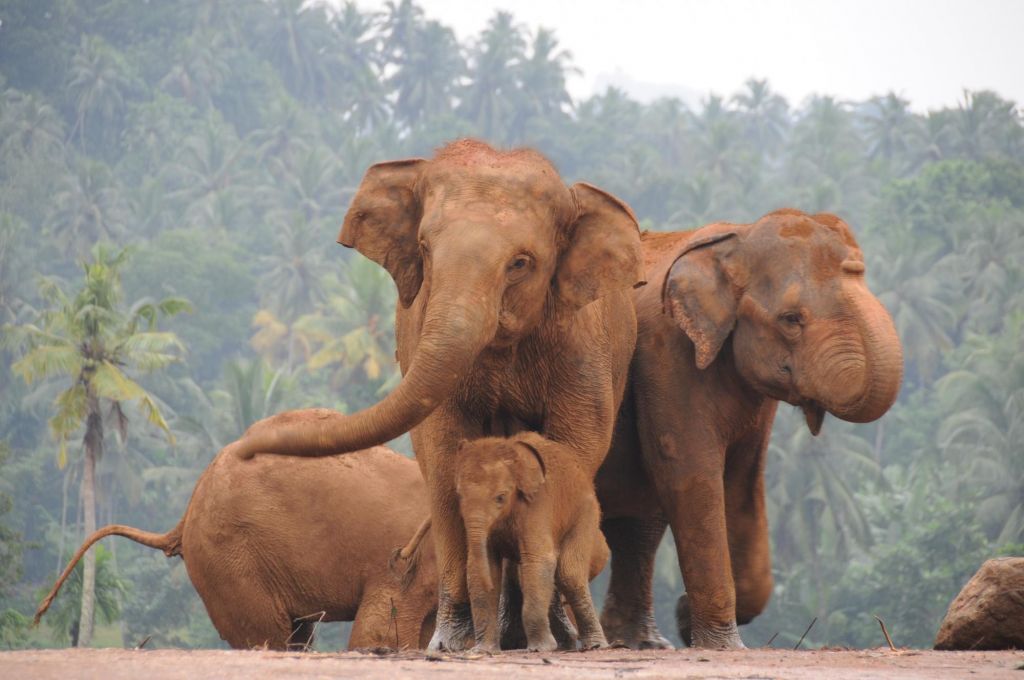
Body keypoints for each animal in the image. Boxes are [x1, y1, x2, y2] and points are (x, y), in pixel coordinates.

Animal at [35, 438, 436, 651]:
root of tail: (186, 514)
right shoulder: (399, 566)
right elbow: (378, 633)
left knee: (296, 633)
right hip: (231, 558)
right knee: (267, 635)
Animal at [456, 432, 606, 651]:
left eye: (500, 498)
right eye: (459, 495)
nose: (490, 586)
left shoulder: (537, 505)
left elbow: (538, 561)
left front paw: (541, 648)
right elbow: (481, 565)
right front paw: (483, 650)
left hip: (586, 513)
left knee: (569, 574)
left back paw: (595, 646)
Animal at [598, 209, 905, 651]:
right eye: (791, 319)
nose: (681, 610)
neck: (736, 238)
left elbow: (744, 480)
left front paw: (687, 618)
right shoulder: (665, 355)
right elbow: (689, 474)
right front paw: (718, 643)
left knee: (638, 524)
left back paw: (641, 644)